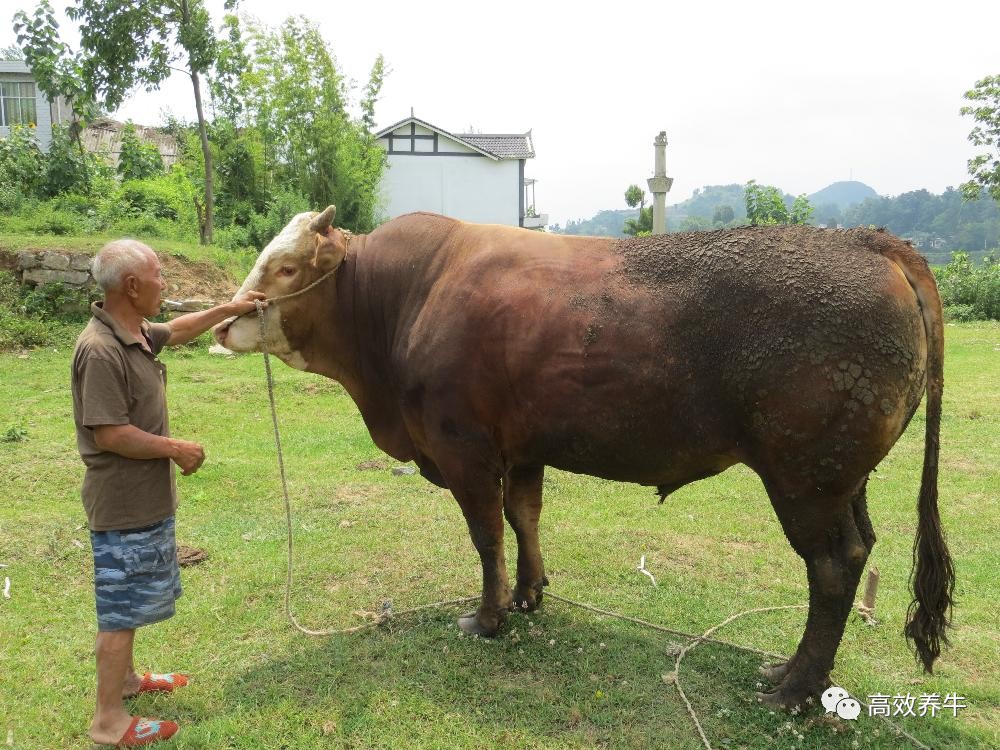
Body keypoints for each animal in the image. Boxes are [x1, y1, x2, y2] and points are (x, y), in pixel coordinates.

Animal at [217, 207, 952, 712]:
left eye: (286, 268)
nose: (223, 321)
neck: (407, 299)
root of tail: (865, 238)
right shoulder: (521, 448)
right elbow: (524, 517)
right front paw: (529, 592)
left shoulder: (462, 448)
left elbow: (486, 534)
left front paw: (488, 618)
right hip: (843, 477)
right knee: (859, 548)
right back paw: (800, 675)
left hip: (805, 477)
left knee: (832, 566)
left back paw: (793, 686)